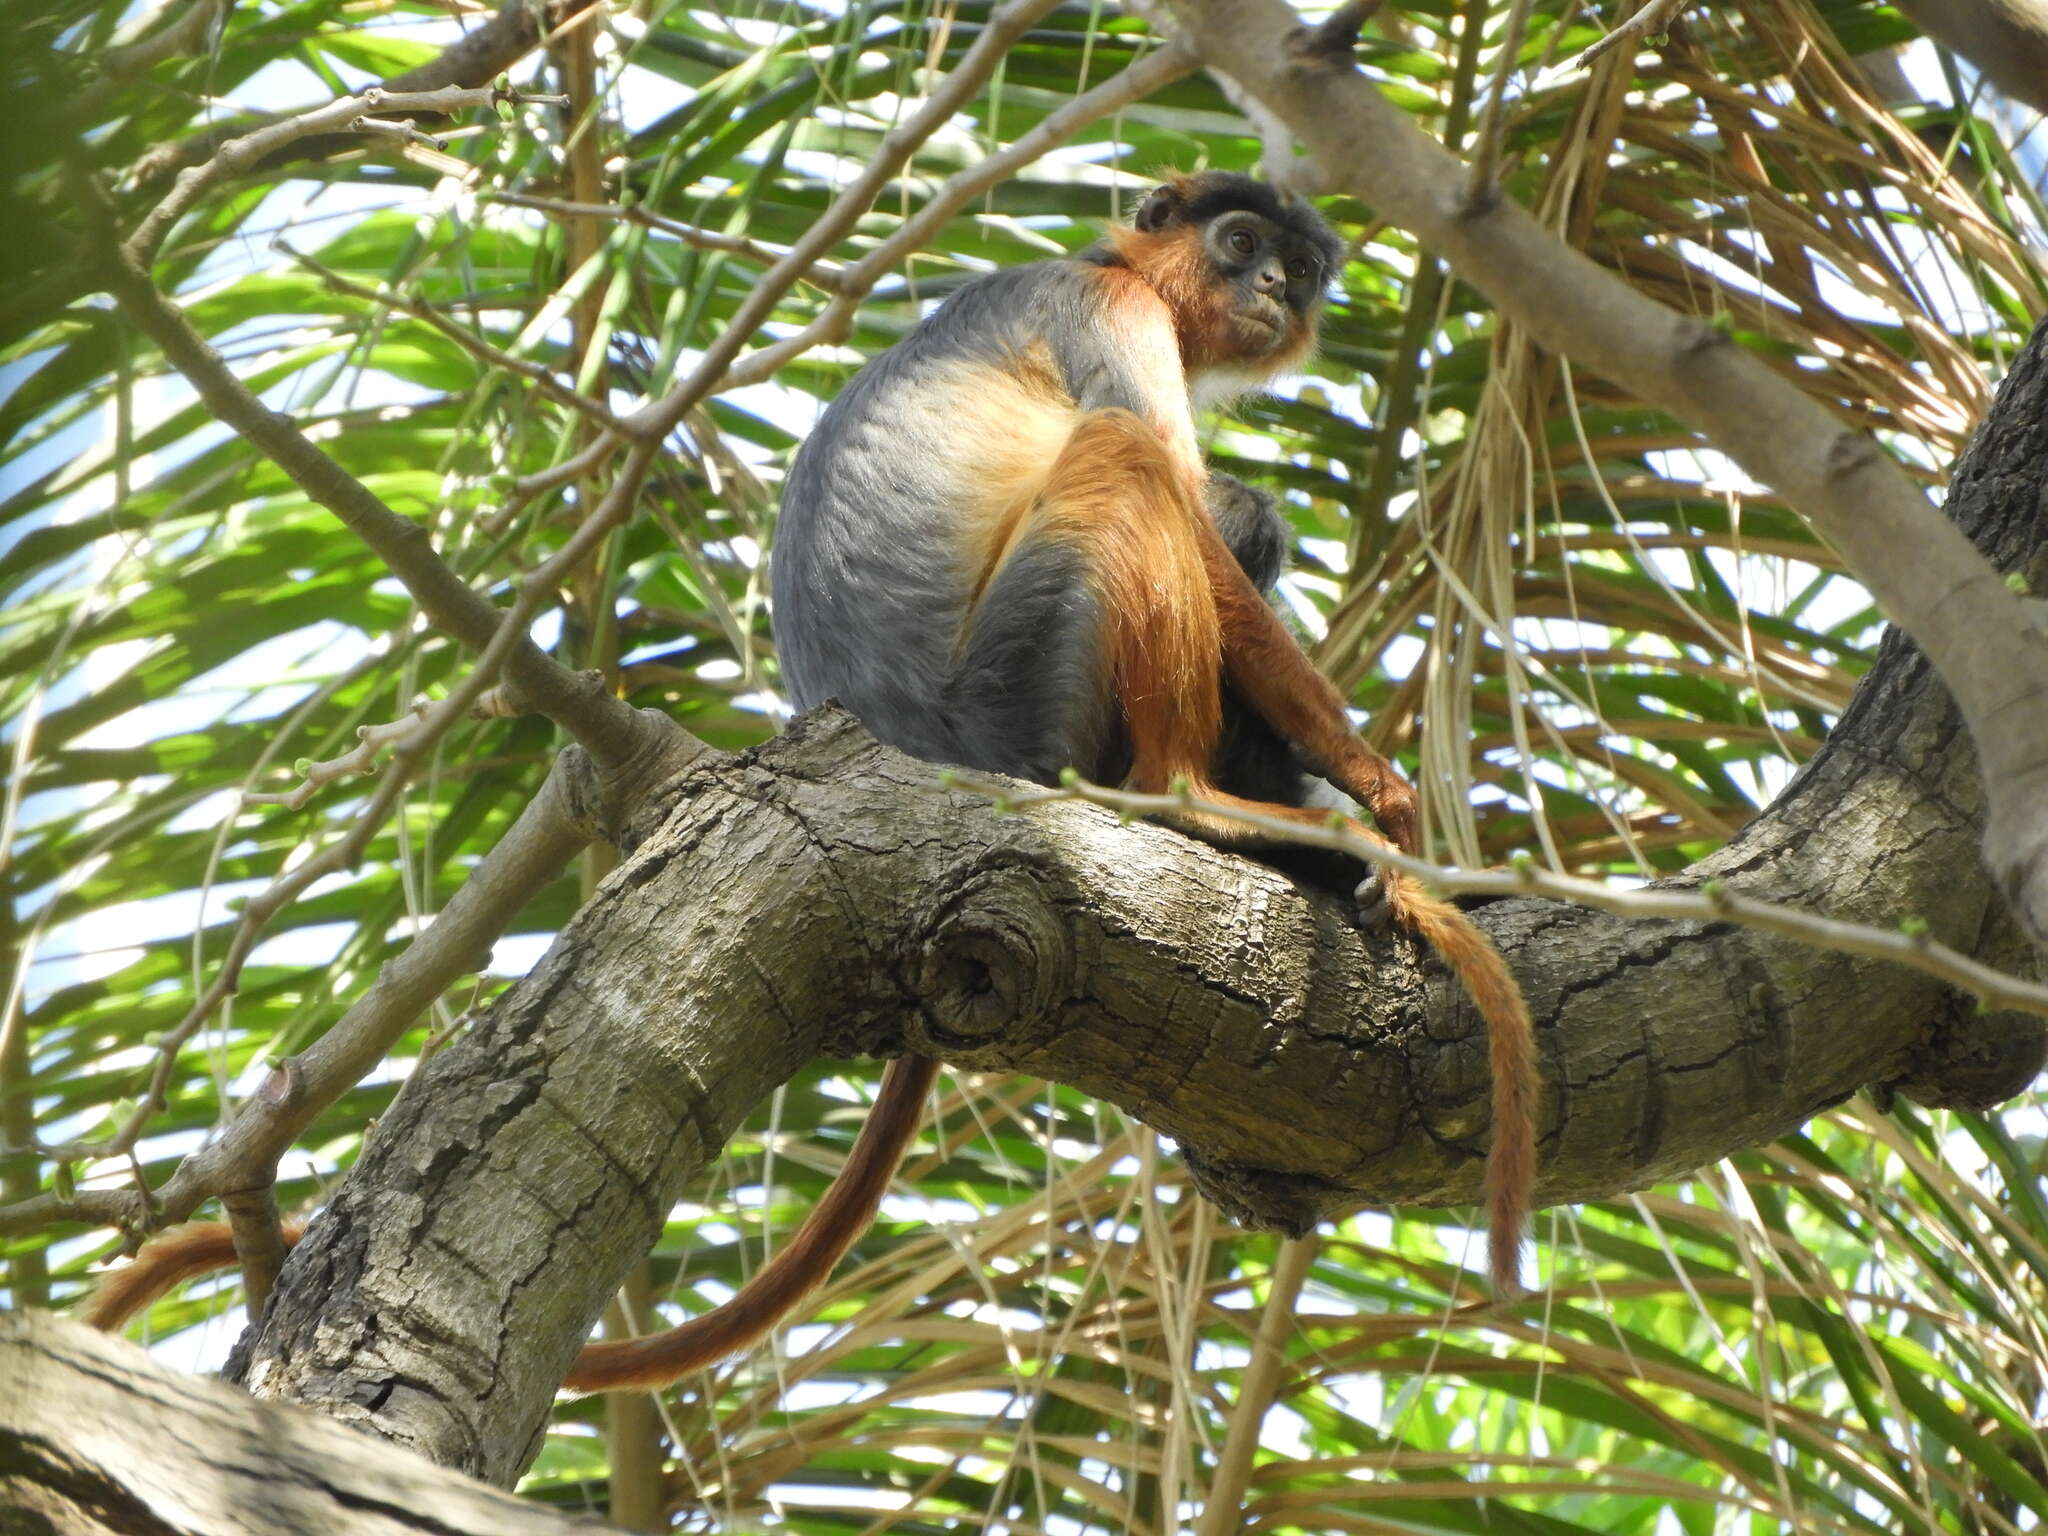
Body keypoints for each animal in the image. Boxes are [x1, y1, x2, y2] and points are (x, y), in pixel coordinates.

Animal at [92, 174, 1540, 1392]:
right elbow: (1185, 499)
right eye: (1240, 245)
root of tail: (918, 747)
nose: (1272, 288)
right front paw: (1375, 789)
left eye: (1297, 269)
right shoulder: (1109, 312)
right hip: (1028, 686)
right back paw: (1212, 806)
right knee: (1159, 480)